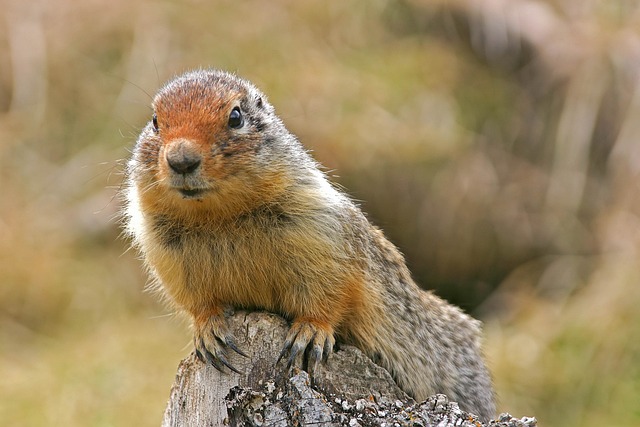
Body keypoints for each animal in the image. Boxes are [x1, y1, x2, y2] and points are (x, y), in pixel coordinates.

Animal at [124, 68, 496, 420]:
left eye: (235, 117)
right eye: (155, 121)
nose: (181, 159)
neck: (219, 216)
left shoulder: (320, 231)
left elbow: (329, 289)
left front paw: (309, 333)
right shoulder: (166, 251)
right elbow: (198, 301)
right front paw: (209, 331)